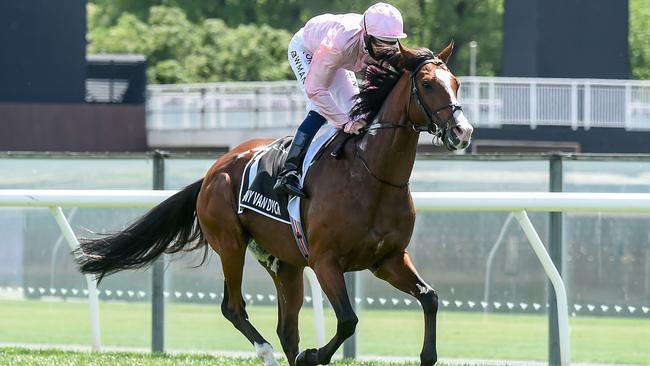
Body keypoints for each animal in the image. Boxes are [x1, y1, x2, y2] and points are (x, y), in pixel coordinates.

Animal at [74, 43, 470, 366]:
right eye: (428, 85)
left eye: (456, 83)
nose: (462, 131)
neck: (371, 176)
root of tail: (214, 169)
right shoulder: (326, 261)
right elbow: (348, 321)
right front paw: (314, 356)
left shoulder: (387, 258)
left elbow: (430, 298)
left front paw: (427, 354)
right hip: (231, 244)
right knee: (234, 308)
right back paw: (266, 352)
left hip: (285, 264)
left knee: (286, 329)